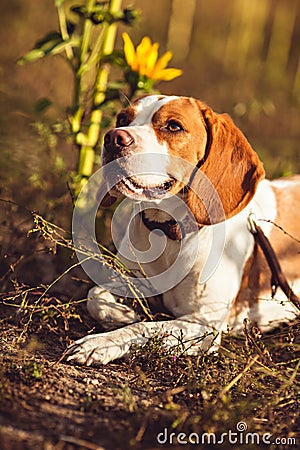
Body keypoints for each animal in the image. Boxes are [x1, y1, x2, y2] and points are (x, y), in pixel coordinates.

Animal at [66, 95, 300, 366]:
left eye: (173, 126)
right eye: (122, 119)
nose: (113, 137)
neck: (168, 231)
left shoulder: (203, 326)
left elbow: (144, 328)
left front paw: (100, 343)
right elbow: (95, 294)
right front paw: (122, 314)